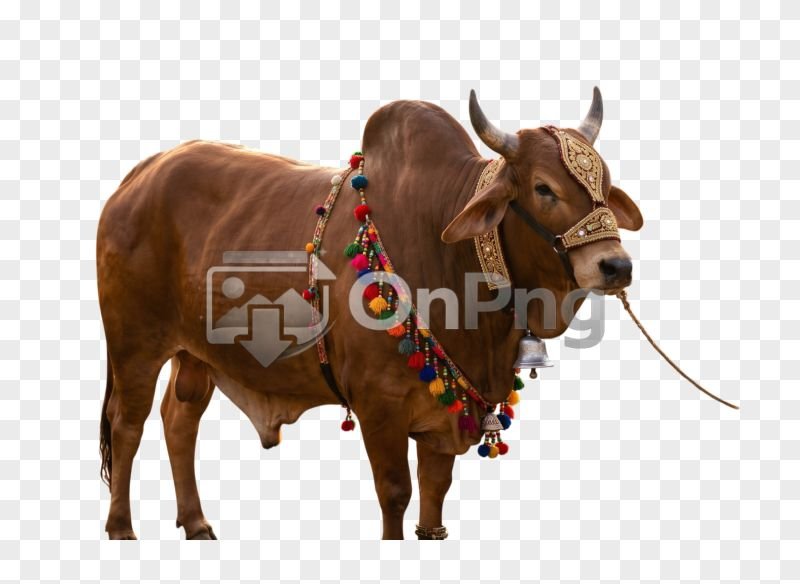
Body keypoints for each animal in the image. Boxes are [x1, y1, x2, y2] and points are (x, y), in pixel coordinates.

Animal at [97, 88, 643, 540]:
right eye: (543, 188)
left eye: (605, 183)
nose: (615, 265)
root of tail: (139, 176)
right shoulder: (379, 405)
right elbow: (395, 495)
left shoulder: (443, 419)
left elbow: (433, 499)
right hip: (134, 345)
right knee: (127, 424)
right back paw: (121, 527)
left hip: (196, 355)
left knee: (179, 420)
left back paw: (195, 522)